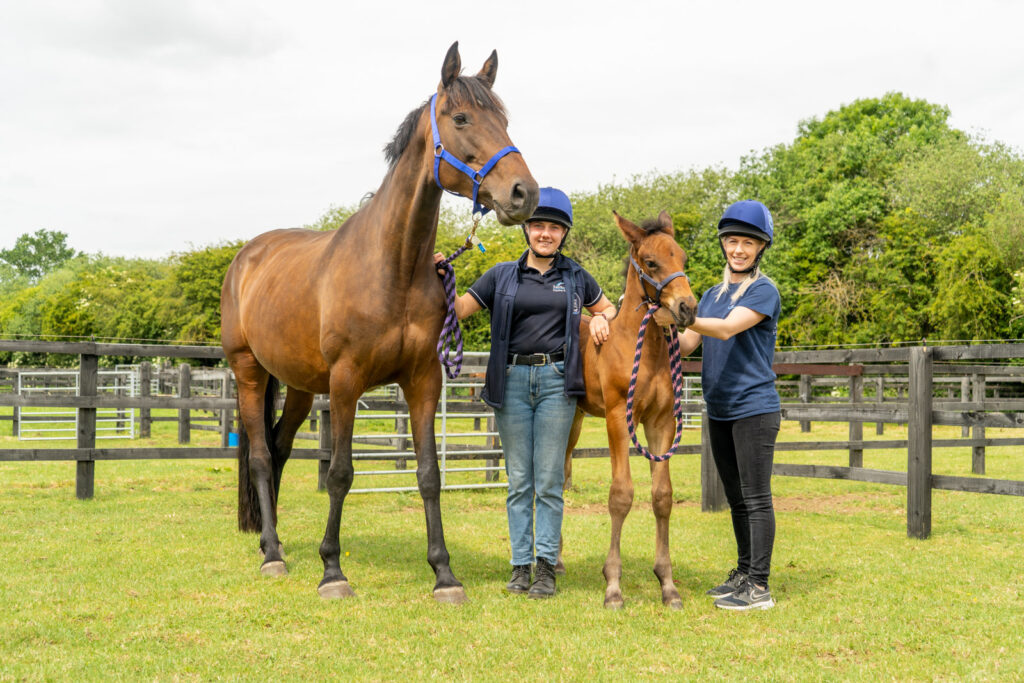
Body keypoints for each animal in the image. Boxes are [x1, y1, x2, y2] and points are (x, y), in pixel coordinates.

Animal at [221, 42, 540, 602]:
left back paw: (269, 540)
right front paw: (332, 571)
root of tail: (247, 256)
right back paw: (273, 554)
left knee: (279, 450)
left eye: (504, 119)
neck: (394, 266)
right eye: (462, 117)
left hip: (299, 386)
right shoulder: (347, 382)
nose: (525, 193)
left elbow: (430, 474)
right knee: (260, 456)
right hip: (249, 372)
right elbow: (341, 473)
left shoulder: (422, 381)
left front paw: (444, 574)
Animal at [565, 211, 700, 610]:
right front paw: (612, 586)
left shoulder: (661, 423)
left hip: (574, 422)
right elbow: (621, 495)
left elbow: (662, 497)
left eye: (683, 257)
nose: (688, 308)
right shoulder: (617, 419)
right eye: (651, 263)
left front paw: (668, 584)